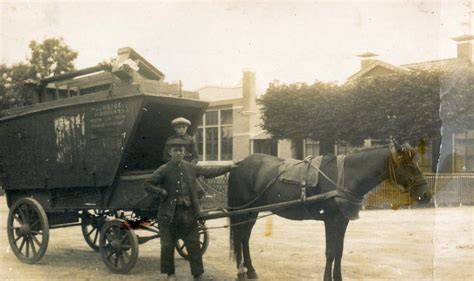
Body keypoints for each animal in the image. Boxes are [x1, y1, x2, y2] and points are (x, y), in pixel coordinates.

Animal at [228, 142, 432, 280]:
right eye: (409, 165)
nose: (426, 194)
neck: (345, 176)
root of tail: (240, 163)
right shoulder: (330, 219)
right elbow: (330, 252)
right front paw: (327, 277)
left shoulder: (342, 220)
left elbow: (339, 251)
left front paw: (338, 277)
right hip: (244, 210)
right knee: (239, 237)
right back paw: (241, 272)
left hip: (252, 212)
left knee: (244, 238)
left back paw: (250, 270)